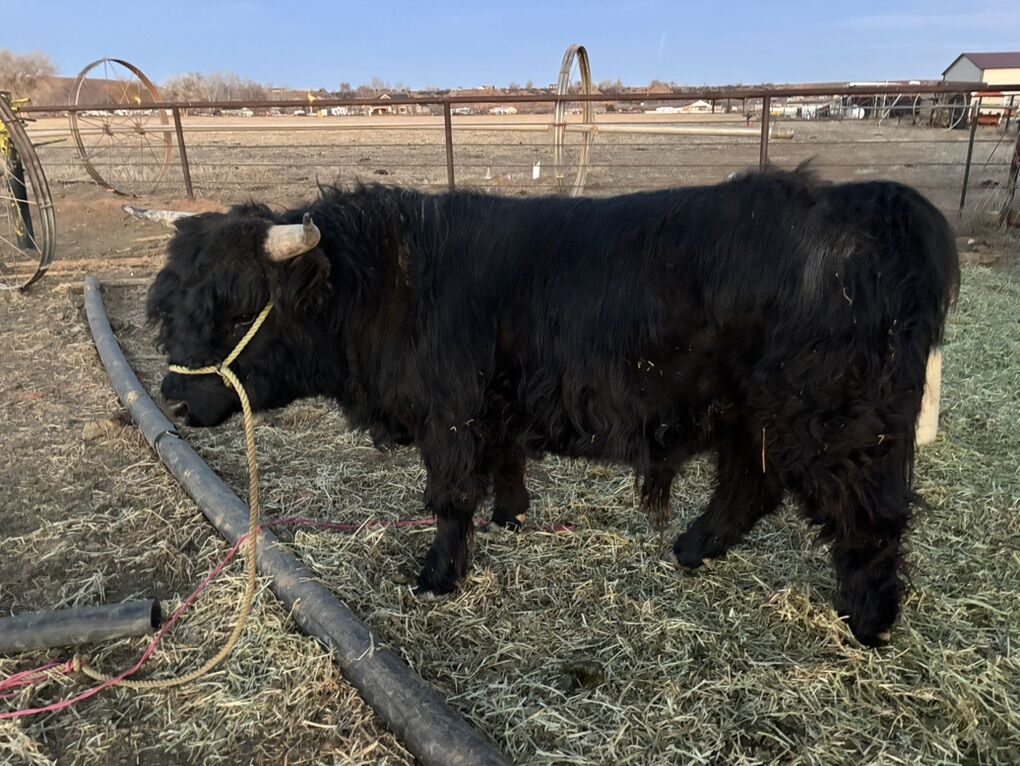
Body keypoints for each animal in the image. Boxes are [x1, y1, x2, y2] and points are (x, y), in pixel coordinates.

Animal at [145, 169, 959, 646]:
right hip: (750, 414)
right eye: (170, 307)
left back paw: (868, 624)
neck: (387, 285)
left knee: (869, 518)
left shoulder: (450, 414)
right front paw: (513, 515)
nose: (175, 403)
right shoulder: (496, 406)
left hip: (837, 421)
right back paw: (691, 550)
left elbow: (450, 497)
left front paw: (437, 575)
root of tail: (878, 201)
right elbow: (504, 465)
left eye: (235, 309)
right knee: (749, 484)